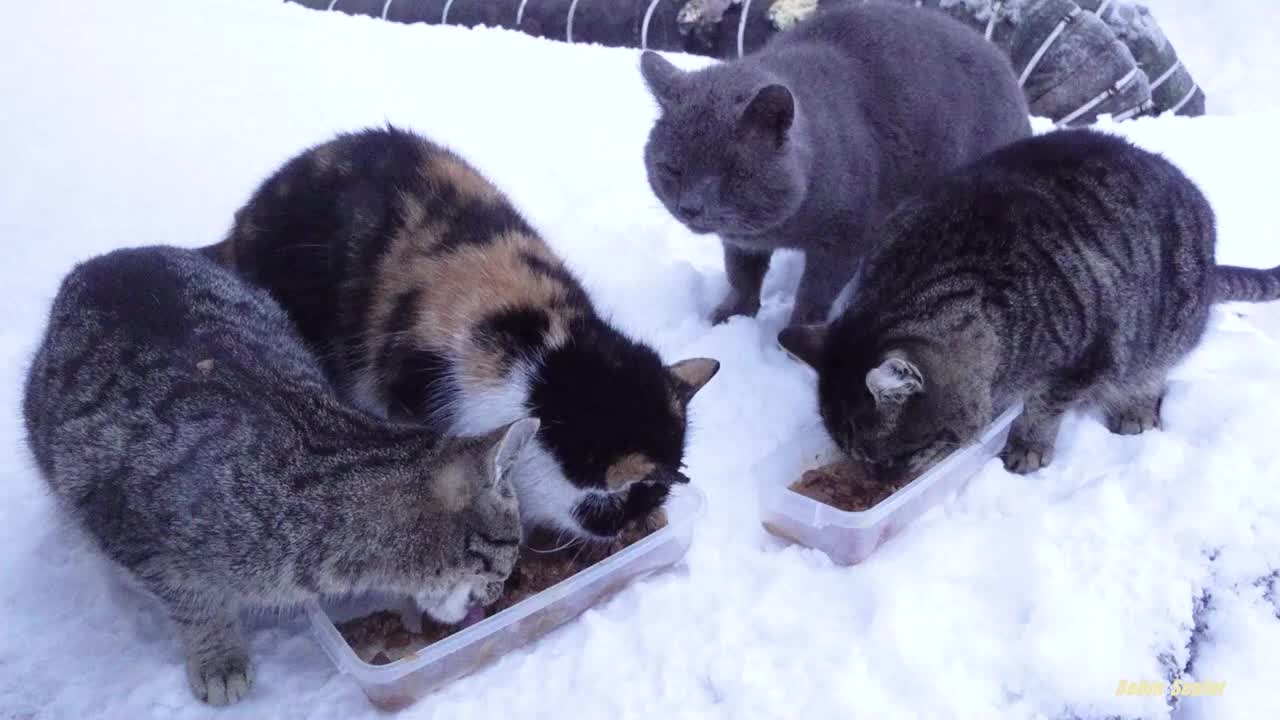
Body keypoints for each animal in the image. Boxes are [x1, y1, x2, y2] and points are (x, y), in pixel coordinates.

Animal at [24, 244, 535, 702]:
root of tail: (103, 259)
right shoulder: (138, 537)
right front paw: (219, 658)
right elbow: (196, 606)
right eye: (505, 557)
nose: (497, 593)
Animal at [640, 2, 1029, 327]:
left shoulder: (844, 241)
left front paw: (794, 336)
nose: (690, 207)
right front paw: (731, 316)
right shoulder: (742, 242)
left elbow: (814, 294)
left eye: (732, 173)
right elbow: (741, 276)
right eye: (671, 169)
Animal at [773, 127, 1280, 476]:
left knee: (1153, 373)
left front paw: (1027, 445)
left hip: (1163, 327)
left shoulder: (1087, 358)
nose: (880, 483)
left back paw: (1136, 408)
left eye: (893, 457)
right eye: (855, 458)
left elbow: (1044, 406)